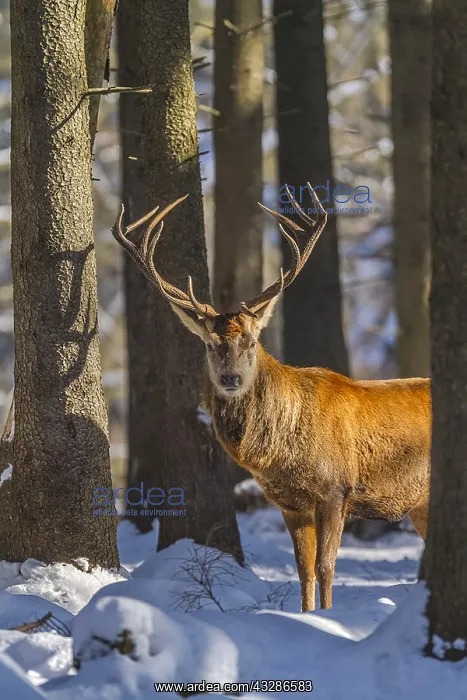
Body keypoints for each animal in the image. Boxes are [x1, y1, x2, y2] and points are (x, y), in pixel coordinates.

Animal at [112, 185, 431, 611]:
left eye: (250, 341)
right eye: (210, 345)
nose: (230, 378)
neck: (281, 451)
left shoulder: (336, 490)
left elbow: (327, 566)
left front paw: (327, 617)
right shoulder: (289, 503)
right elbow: (304, 569)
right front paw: (306, 615)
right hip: (422, 505)